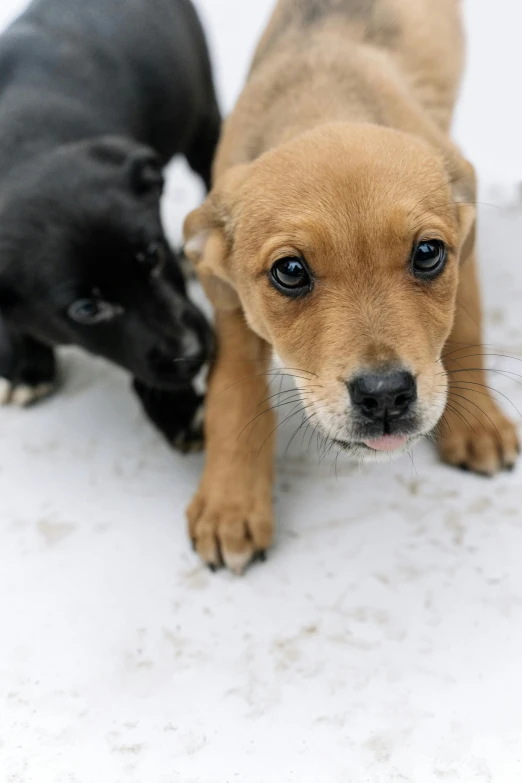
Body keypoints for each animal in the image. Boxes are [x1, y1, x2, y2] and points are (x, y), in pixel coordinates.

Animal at [0, 0, 217, 448]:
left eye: (153, 256)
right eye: (86, 309)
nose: (192, 352)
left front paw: (178, 410)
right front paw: (25, 364)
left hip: (202, 112)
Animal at [183, 0, 516, 576]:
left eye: (427, 254)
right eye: (290, 271)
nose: (384, 396)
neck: (323, 102)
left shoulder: (465, 243)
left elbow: (465, 329)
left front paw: (477, 421)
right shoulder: (231, 298)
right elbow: (234, 388)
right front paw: (230, 501)